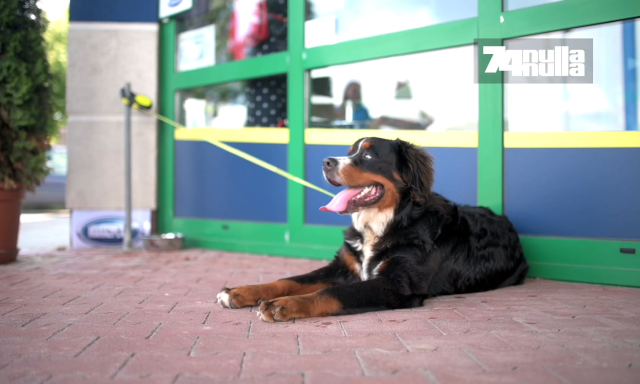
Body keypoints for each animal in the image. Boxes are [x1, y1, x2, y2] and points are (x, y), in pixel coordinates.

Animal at [218, 136, 528, 322]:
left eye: (367, 157)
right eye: (349, 153)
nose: (326, 162)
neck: (386, 223)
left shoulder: (396, 283)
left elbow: (332, 294)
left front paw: (282, 305)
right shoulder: (342, 266)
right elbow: (290, 280)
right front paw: (240, 291)